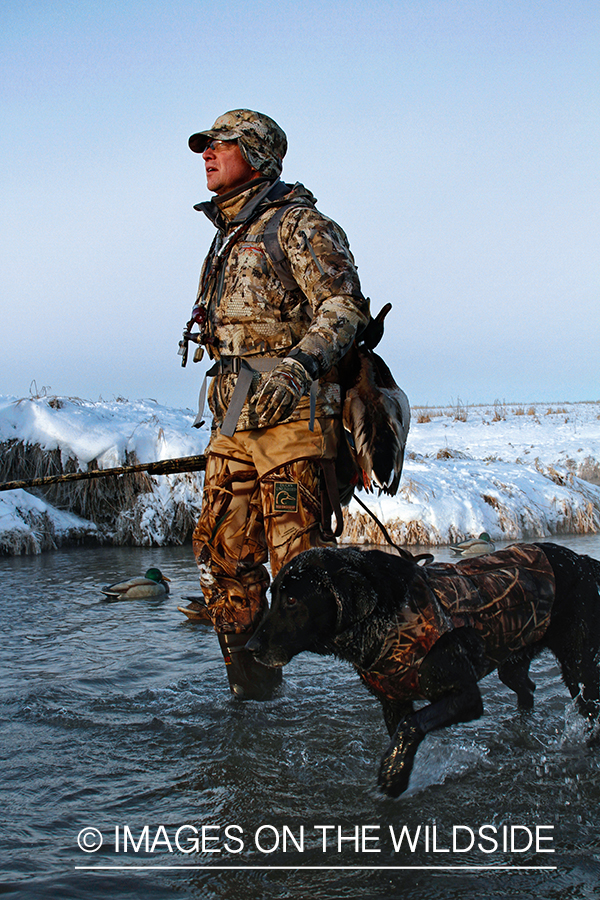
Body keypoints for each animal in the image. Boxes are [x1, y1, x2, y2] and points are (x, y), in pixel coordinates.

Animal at [246, 540, 596, 796]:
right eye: (273, 594)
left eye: (293, 600)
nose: (250, 647)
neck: (386, 616)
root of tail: (584, 561)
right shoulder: (393, 702)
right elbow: (403, 727)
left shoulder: (466, 697)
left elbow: (412, 725)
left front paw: (393, 775)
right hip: (512, 658)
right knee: (528, 688)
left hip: (579, 666)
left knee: (588, 707)